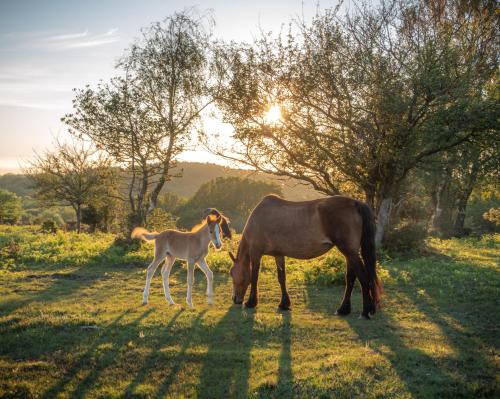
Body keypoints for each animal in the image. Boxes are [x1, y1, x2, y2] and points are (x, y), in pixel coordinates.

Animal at [229, 195, 382, 320]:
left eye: (232, 274)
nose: (235, 299)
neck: (258, 219)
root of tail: (355, 203)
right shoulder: (279, 254)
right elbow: (281, 278)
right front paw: (284, 304)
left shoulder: (256, 253)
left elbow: (254, 277)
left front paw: (251, 302)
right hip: (350, 253)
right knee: (350, 278)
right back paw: (343, 309)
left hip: (350, 252)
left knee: (363, 278)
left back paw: (365, 311)